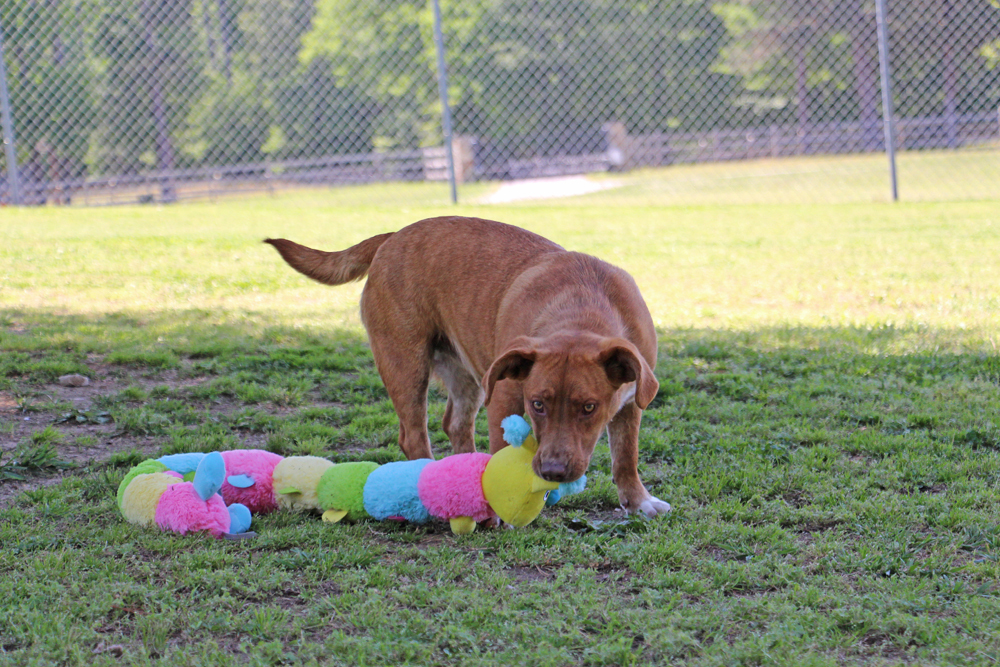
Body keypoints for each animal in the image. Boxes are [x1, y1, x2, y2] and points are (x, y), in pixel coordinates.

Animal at [266, 217, 672, 520]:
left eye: (589, 407)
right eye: (537, 404)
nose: (553, 472)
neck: (583, 309)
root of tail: (393, 236)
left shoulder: (630, 403)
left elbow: (626, 457)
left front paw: (638, 501)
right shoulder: (505, 395)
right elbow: (501, 450)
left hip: (468, 374)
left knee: (455, 424)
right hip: (406, 364)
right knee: (414, 435)